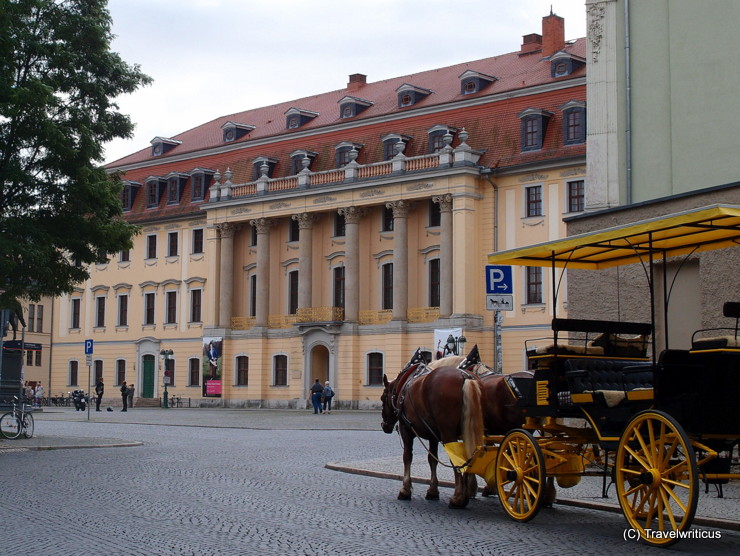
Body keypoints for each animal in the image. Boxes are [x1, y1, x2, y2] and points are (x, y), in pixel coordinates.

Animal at [382, 352, 486, 508]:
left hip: (448, 433)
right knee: (470, 456)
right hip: (473, 429)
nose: (384, 426)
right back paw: (467, 492)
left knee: (457, 459)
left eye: (382, 398)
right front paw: (433, 490)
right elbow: (432, 459)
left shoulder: (406, 430)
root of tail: (465, 377)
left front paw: (405, 490)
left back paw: (458, 497)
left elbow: (407, 457)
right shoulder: (433, 435)